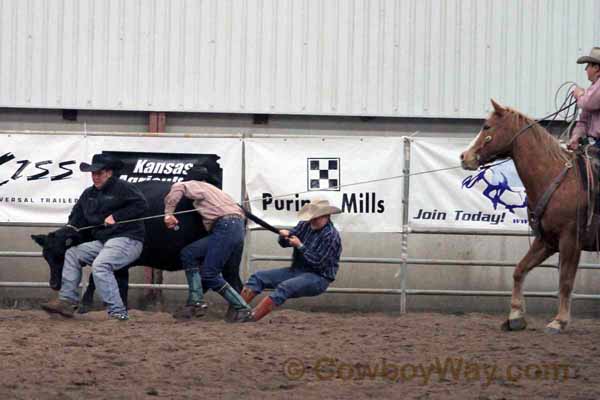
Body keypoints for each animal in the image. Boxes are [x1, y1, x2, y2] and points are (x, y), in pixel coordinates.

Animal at [462, 99, 592, 334]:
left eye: (486, 126)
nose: (464, 157)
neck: (556, 178)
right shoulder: (547, 240)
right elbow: (520, 269)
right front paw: (515, 316)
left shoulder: (571, 240)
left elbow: (565, 281)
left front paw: (559, 321)